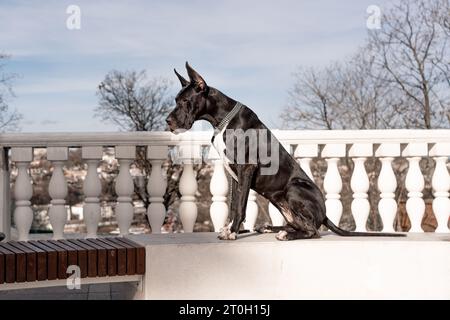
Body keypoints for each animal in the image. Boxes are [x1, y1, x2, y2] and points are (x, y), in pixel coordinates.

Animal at [166, 63, 404, 240]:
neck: (222, 119)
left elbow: (241, 206)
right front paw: (230, 228)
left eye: (185, 101)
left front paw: (232, 232)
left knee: (313, 231)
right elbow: (234, 205)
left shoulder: (246, 168)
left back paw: (286, 235)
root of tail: (324, 214)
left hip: (293, 188)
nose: (168, 121)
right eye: (176, 101)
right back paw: (272, 228)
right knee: (298, 224)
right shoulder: (234, 174)